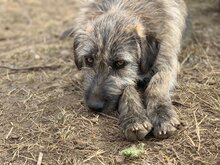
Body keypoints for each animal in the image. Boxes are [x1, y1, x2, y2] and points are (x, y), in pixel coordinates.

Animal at [63, 0, 187, 141]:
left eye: (120, 63)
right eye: (89, 59)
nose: (94, 105)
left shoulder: (168, 62)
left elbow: (157, 84)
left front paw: (162, 115)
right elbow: (127, 87)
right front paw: (134, 118)